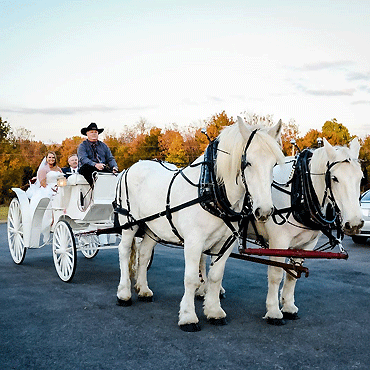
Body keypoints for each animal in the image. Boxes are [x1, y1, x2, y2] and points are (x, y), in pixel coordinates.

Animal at [117, 117, 284, 330]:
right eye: (247, 163)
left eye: (274, 164)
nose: (264, 211)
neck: (211, 192)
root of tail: (130, 168)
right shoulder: (193, 242)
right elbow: (191, 279)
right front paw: (188, 316)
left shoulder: (226, 243)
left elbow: (215, 276)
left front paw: (214, 311)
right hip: (129, 224)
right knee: (124, 251)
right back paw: (124, 293)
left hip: (152, 228)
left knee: (144, 254)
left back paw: (144, 289)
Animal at [253, 138, 362, 324]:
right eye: (334, 178)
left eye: (361, 177)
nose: (355, 223)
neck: (300, 189)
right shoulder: (278, 241)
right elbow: (276, 274)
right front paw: (273, 311)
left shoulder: (307, 243)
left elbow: (293, 274)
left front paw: (288, 307)